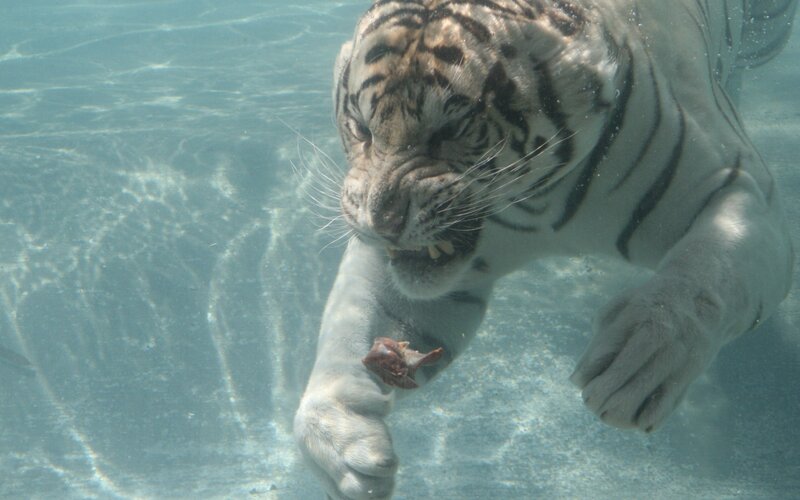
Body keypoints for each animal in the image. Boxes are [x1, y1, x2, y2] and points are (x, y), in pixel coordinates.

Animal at [294, 0, 797, 498]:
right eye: (362, 128)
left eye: (451, 129)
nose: (383, 224)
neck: (538, 202)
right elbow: (352, 322)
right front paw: (341, 441)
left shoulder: (741, 191)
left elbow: (706, 275)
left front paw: (640, 360)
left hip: (767, 35)